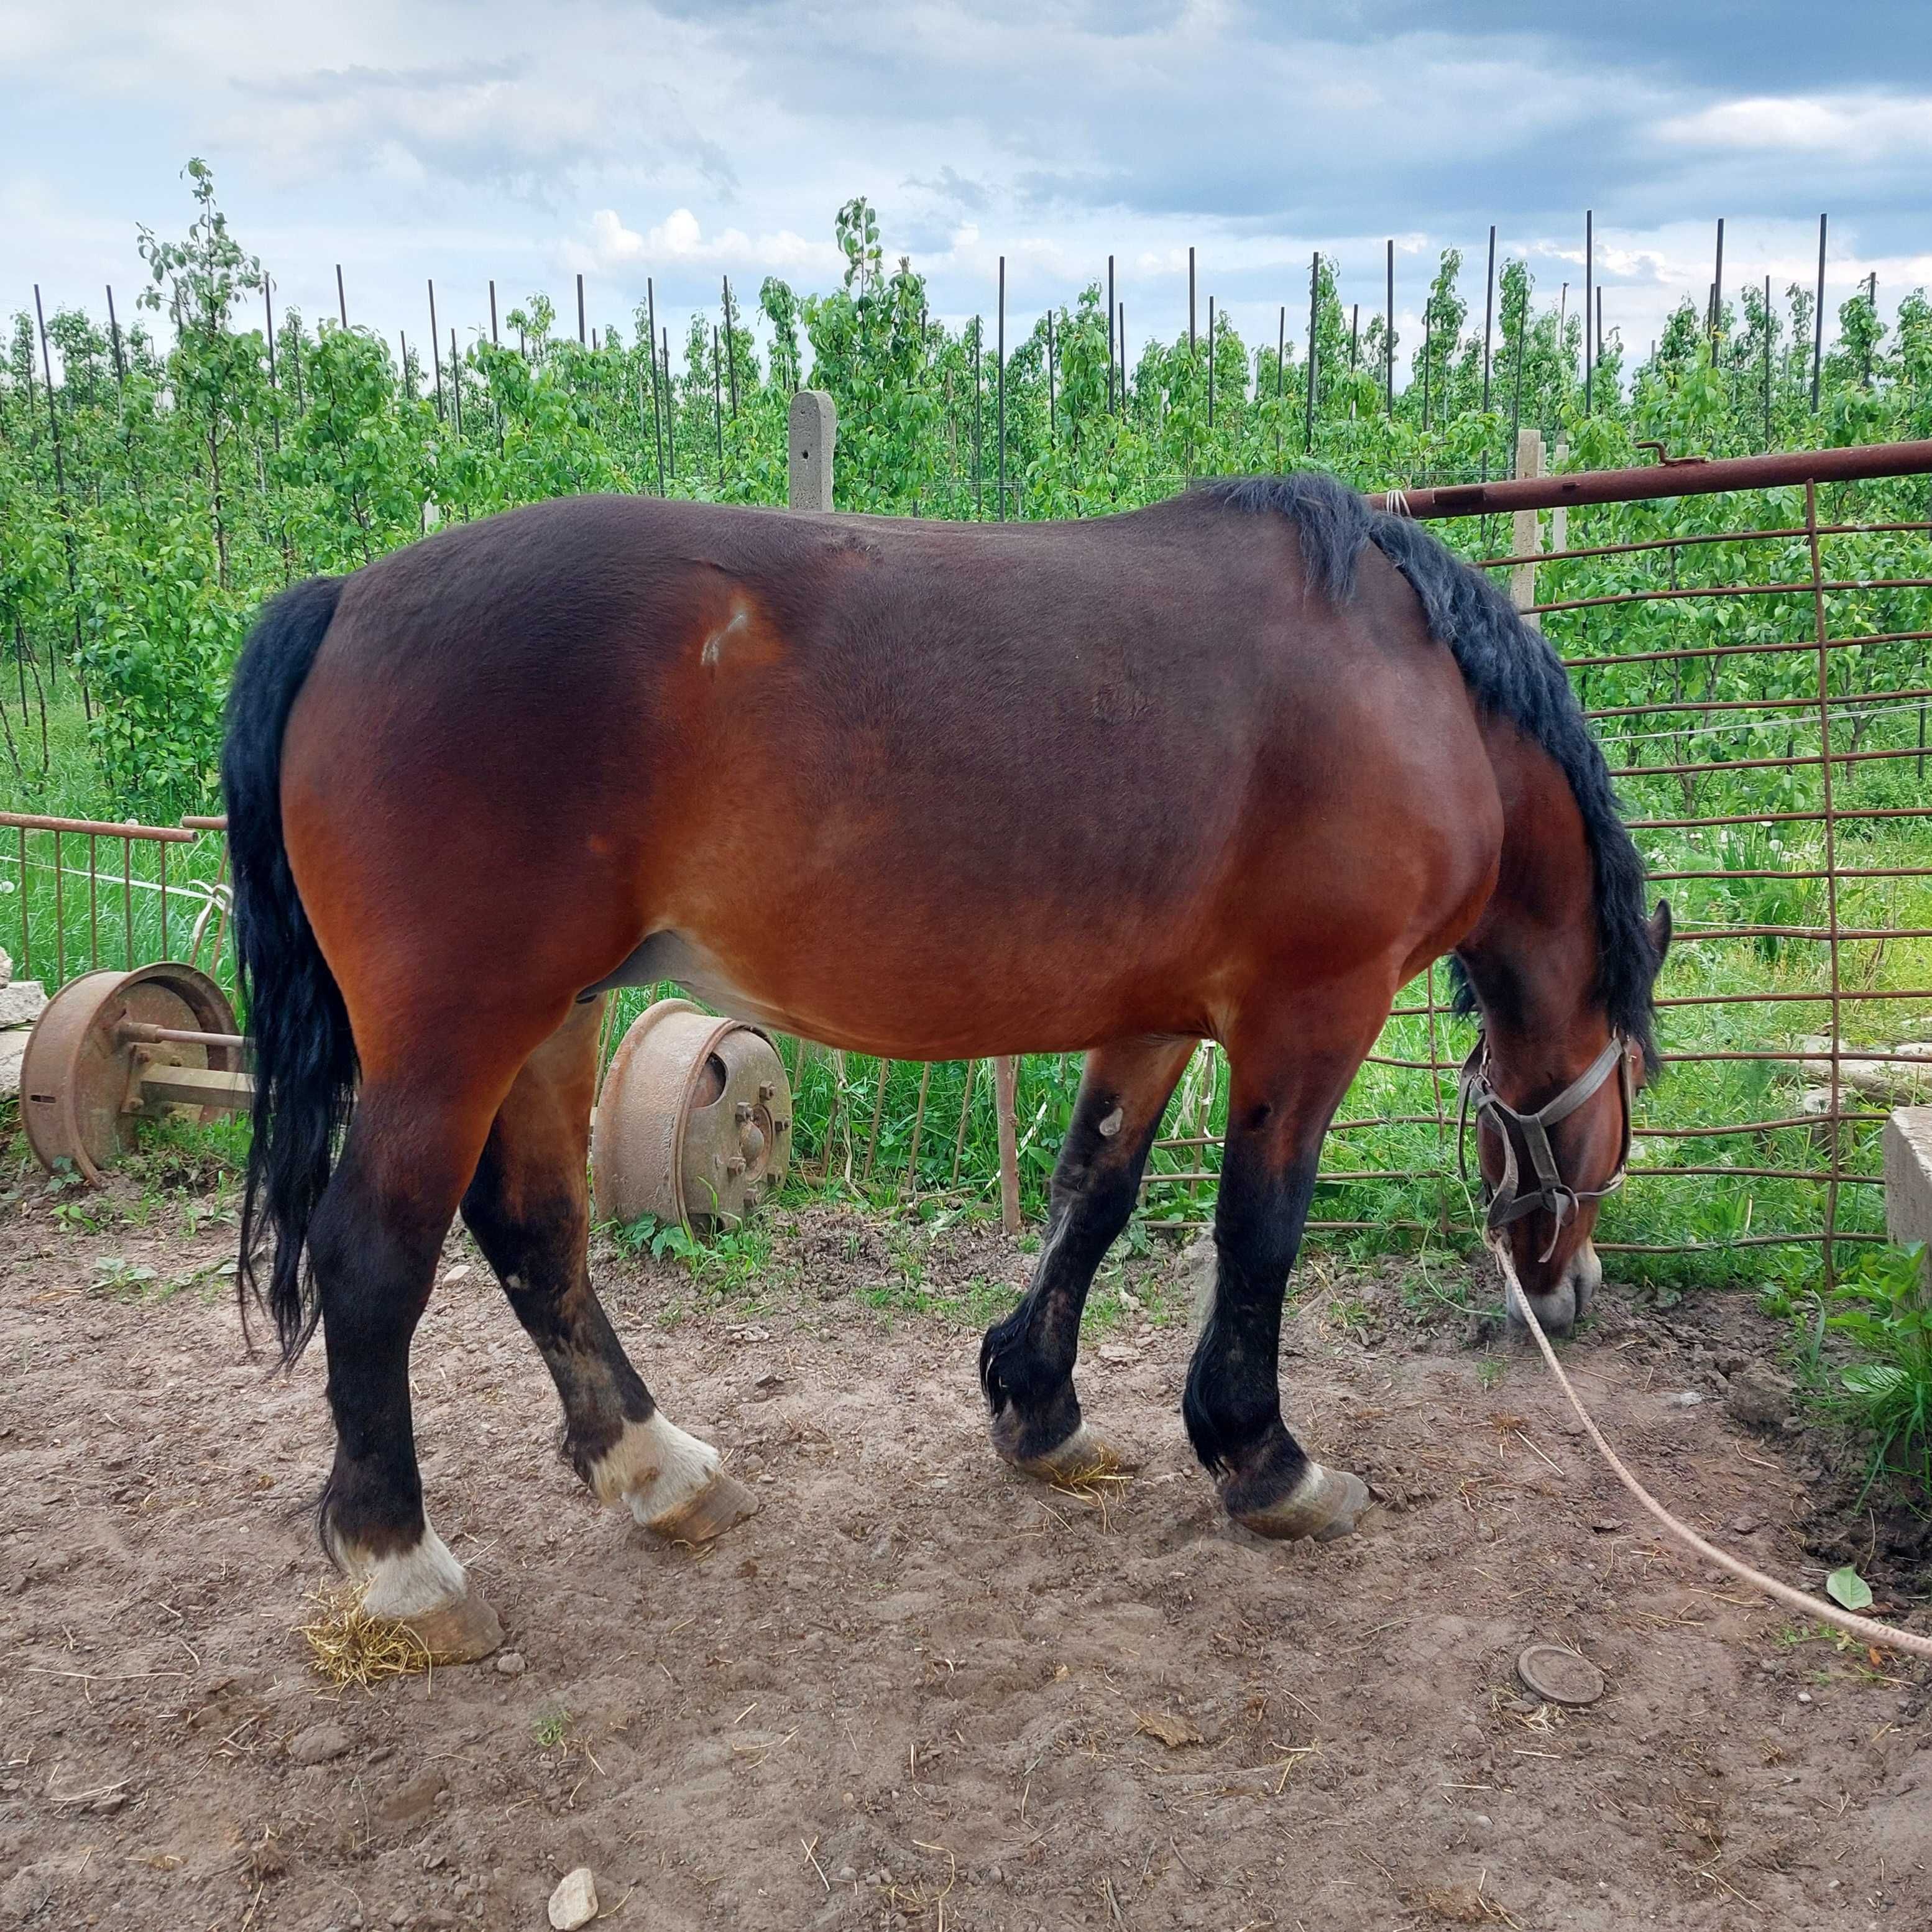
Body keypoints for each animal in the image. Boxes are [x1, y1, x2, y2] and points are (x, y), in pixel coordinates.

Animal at [226, 471, 1669, 1661]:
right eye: (1632, 1104)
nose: (1570, 1288)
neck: (1414, 689)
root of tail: (344, 601)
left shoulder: (1155, 1018)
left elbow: (1094, 1190)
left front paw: (1038, 1407)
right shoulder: (1307, 1017)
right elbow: (1258, 1232)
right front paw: (1263, 1460)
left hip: (550, 1018)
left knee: (535, 1231)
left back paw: (657, 1469)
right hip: (459, 1034)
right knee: (376, 1256)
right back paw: (404, 1563)